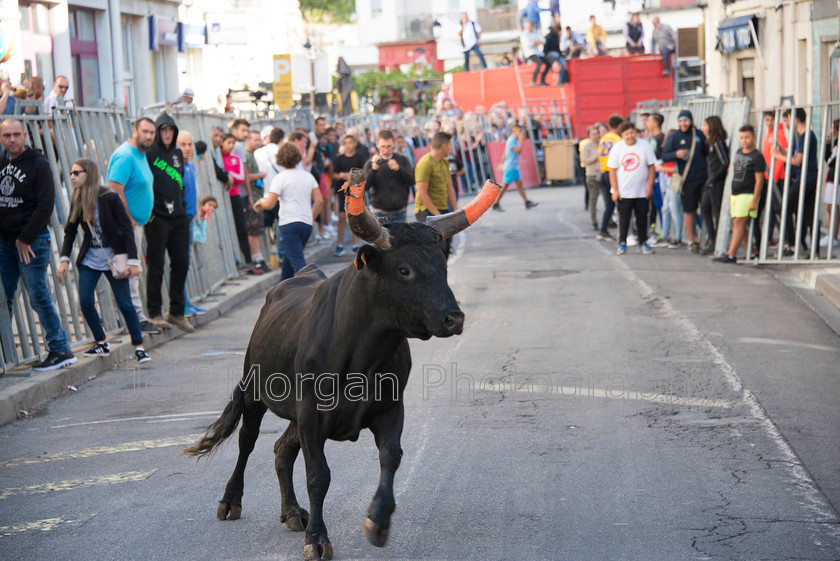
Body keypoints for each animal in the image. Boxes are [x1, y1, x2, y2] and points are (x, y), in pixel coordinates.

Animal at [185, 173, 498, 556]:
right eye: (404, 270)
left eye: (443, 265)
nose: (453, 318)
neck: (364, 355)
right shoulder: (311, 413)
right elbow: (318, 475)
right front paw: (317, 540)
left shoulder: (389, 408)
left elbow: (391, 457)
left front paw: (377, 521)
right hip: (254, 393)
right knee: (248, 440)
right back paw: (231, 501)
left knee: (281, 449)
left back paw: (292, 511)